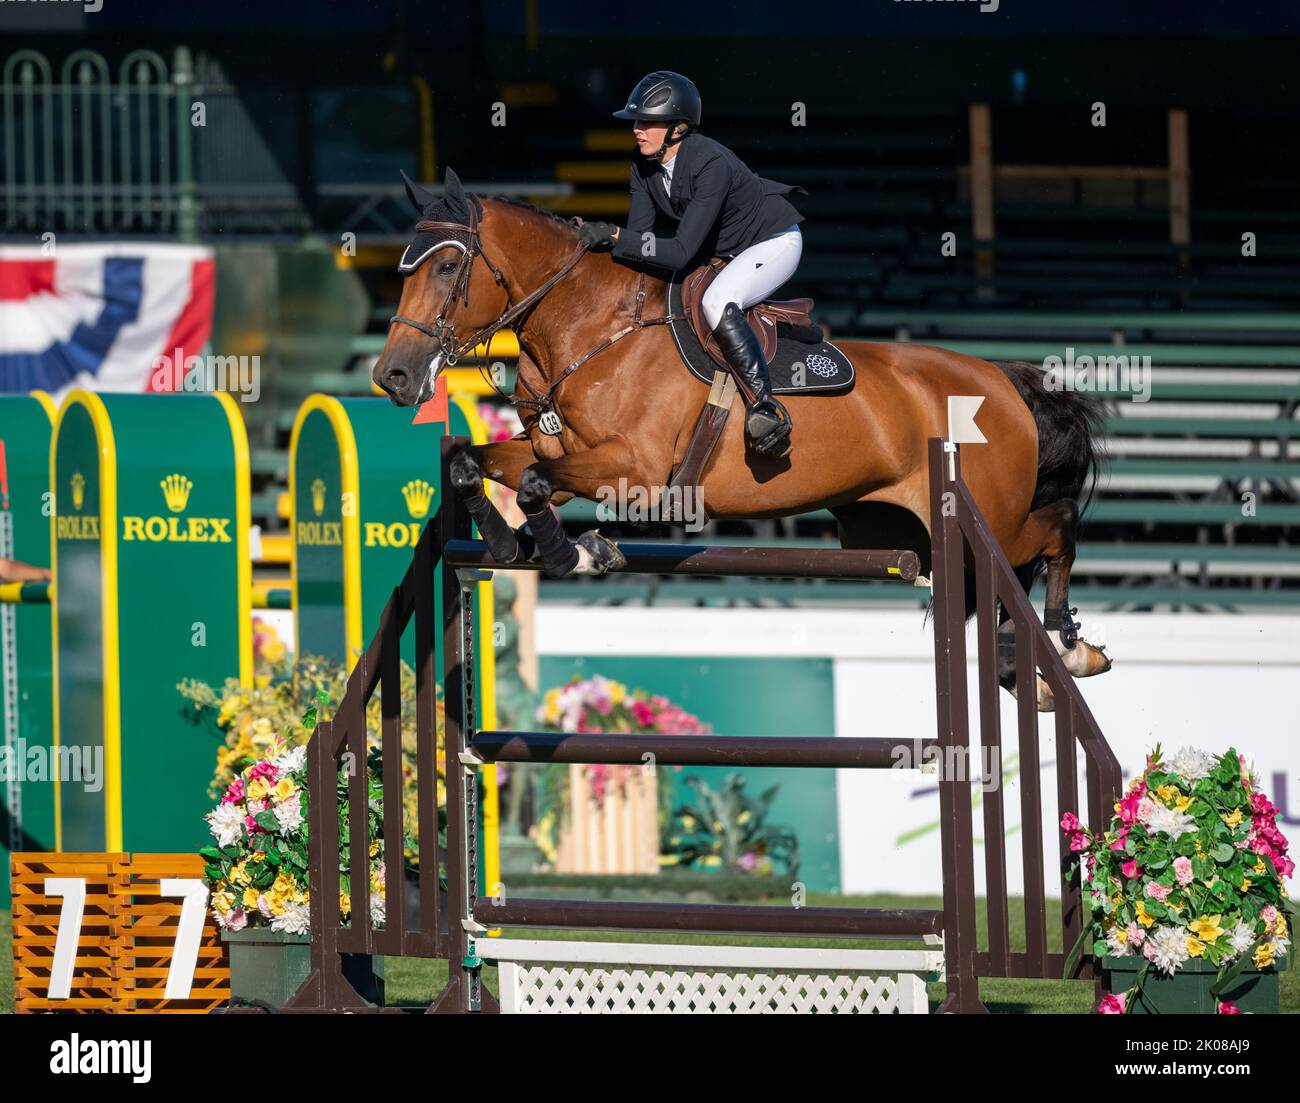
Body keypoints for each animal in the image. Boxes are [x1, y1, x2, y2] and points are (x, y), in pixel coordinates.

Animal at [374, 171, 1107, 707]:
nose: (393, 376)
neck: (589, 328)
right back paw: (1025, 662)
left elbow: (530, 485)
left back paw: (1071, 646)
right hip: (896, 532)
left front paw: (571, 553)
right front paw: (513, 546)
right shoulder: (560, 454)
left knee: (1055, 528)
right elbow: (475, 464)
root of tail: (1005, 379)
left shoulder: (636, 473)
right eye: (403, 268)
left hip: (989, 517)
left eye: (446, 268)